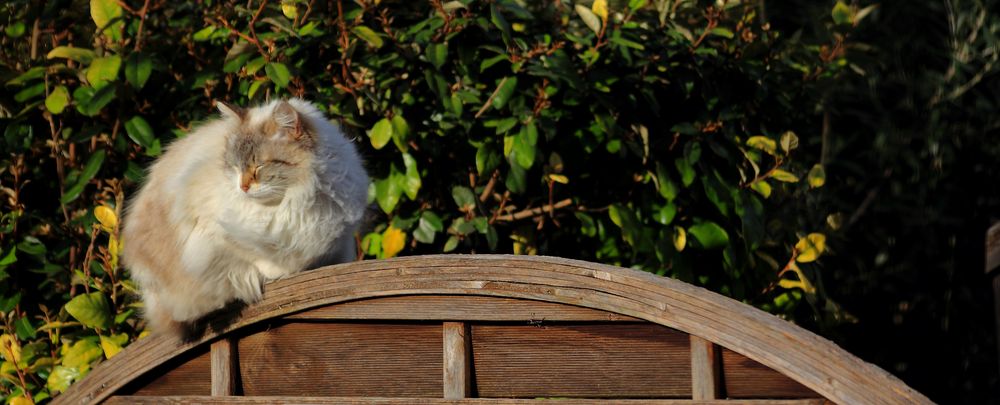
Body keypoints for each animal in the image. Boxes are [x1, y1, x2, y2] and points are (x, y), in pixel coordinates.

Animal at [122, 97, 372, 334]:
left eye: (258, 167)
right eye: (235, 167)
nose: (242, 187)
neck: (293, 201)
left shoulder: (335, 243)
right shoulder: (212, 233)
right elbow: (255, 256)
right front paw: (278, 272)